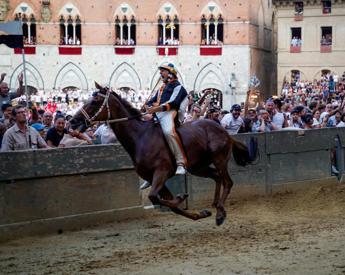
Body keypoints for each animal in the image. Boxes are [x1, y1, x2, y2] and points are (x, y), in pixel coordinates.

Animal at [69, 84, 255, 226]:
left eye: (95, 101)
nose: (73, 121)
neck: (140, 137)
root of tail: (224, 131)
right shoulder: (152, 178)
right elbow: (166, 203)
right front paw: (199, 213)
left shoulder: (162, 172)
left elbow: (154, 197)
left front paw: (181, 197)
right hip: (198, 167)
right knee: (217, 177)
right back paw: (216, 206)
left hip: (219, 159)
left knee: (228, 182)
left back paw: (220, 212)